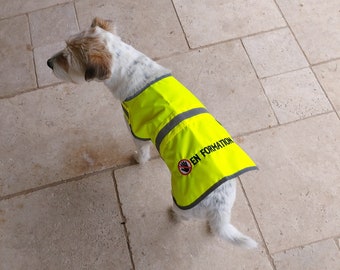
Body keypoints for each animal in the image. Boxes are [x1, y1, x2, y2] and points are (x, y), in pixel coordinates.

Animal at [47, 16, 258, 249]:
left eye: (66, 58)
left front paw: (138, 160)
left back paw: (173, 215)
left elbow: (142, 152)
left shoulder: (136, 131)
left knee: (183, 216)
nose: (48, 63)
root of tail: (220, 207)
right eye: (64, 46)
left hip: (182, 201)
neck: (129, 67)